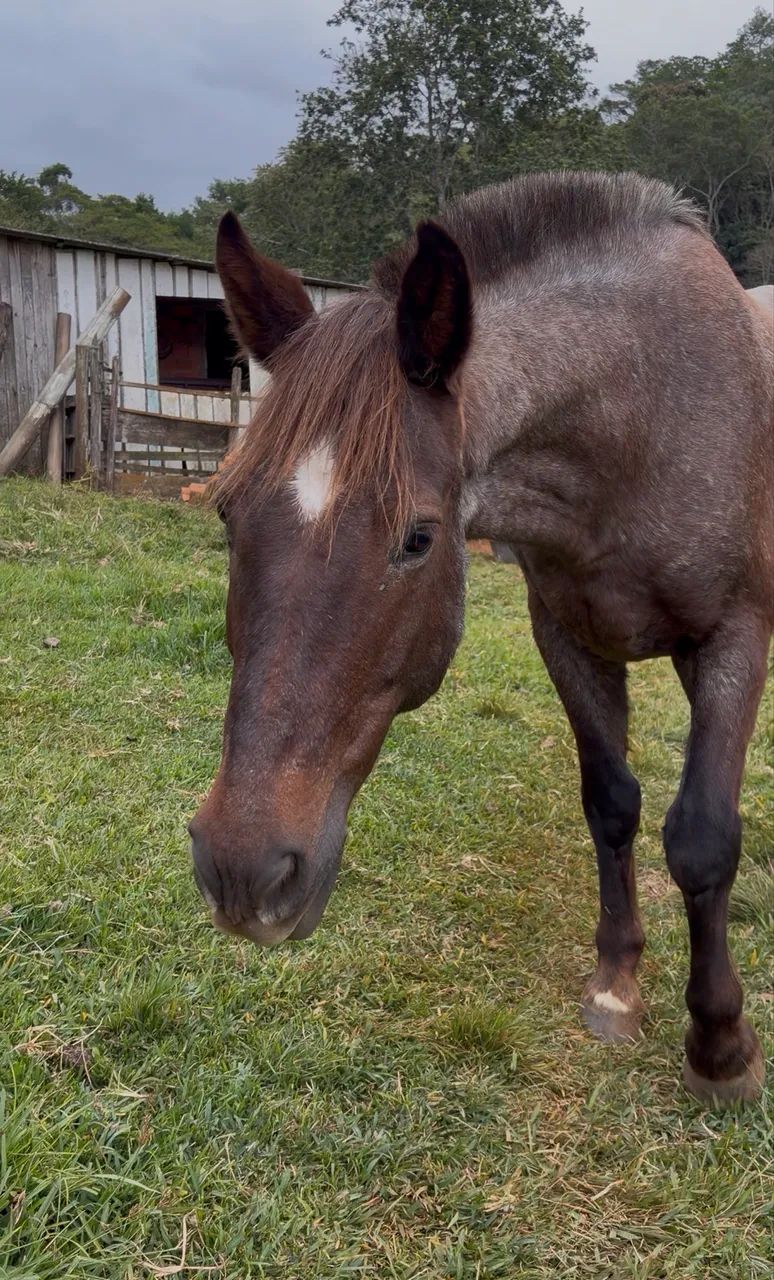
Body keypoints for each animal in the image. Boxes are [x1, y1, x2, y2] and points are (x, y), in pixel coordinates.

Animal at [190, 172, 773, 1104]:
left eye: (419, 538)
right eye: (226, 513)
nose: (243, 870)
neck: (648, 412)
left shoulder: (732, 640)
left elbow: (703, 838)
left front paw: (721, 1046)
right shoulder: (569, 639)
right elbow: (612, 805)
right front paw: (617, 986)